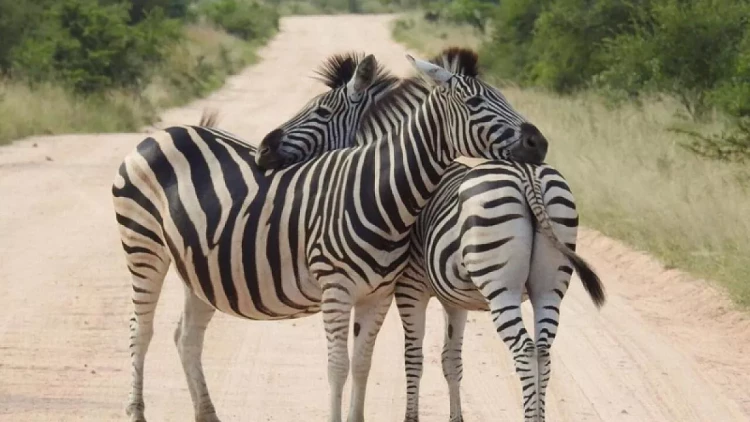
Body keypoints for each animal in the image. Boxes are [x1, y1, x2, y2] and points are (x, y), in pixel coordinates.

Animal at [111, 48, 547, 422]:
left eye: (320, 110)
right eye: (475, 105)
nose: (539, 142)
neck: (377, 192)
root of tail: (162, 133)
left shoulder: (378, 295)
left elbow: (361, 363)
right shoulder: (336, 290)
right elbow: (337, 366)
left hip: (200, 268)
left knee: (186, 337)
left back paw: (207, 415)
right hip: (143, 246)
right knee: (140, 330)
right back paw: (136, 411)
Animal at [256, 47, 606, 421]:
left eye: (319, 111)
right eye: (478, 101)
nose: (263, 150)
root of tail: (528, 176)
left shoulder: (410, 288)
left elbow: (414, 358)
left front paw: (411, 417)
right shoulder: (455, 300)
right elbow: (451, 360)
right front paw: (456, 417)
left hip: (500, 285)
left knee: (525, 351)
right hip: (550, 285)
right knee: (543, 351)